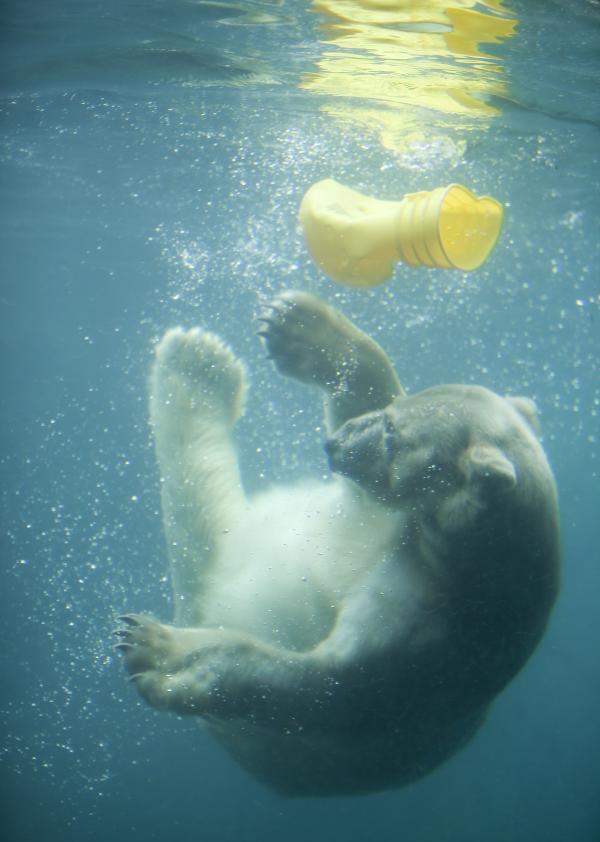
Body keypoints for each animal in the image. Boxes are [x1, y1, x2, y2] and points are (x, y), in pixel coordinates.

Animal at [115, 290, 560, 797]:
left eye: (392, 433)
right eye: (394, 417)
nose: (333, 445)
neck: (476, 570)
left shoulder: (424, 643)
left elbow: (321, 689)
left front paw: (155, 649)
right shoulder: (392, 526)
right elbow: (367, 400)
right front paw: (296, 324)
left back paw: (198, 364)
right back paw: (202, 358)